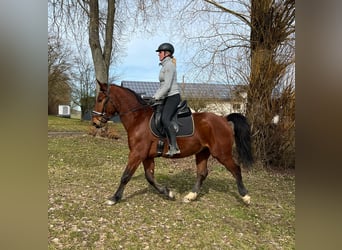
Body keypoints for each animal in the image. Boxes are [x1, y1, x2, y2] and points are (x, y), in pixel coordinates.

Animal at [91, 79, 254, 205]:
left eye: (100, 99)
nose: (95, 122)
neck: (138, 119)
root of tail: (224, 119)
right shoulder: (147, 156)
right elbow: (149, 177)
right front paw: (168, 193)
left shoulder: (137, 154)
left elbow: (126, 176)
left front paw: (114, 198)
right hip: (202, 152)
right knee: (202, 173)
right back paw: (191, 196)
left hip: (221, 153)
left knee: (236, 169)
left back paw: (245, 196)